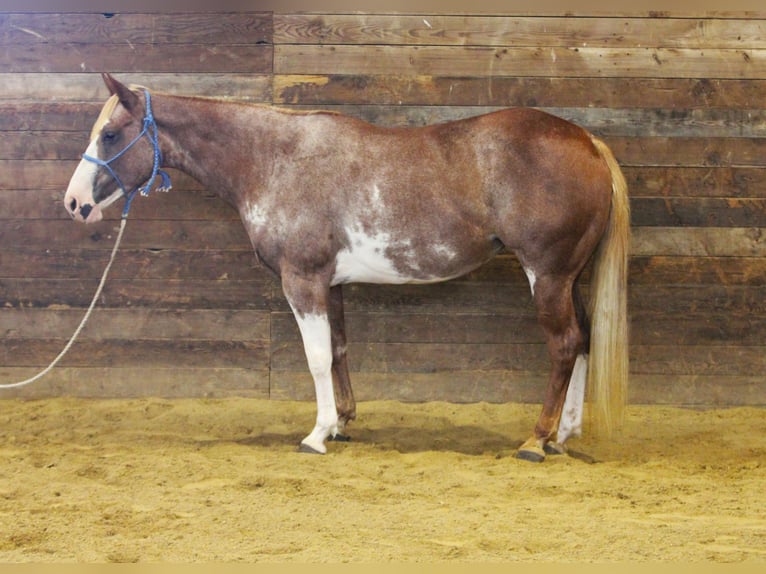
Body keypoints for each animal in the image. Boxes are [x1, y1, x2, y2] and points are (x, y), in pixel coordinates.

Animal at [64, 75, 632, 464]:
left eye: (110, 134)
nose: (74, 204)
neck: (275, 160)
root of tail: (587, 142)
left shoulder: (303, 280)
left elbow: (315, 358)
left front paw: (316, 435)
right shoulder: (330, 284)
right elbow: (337, 351)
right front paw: (342, 423)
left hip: (548, 276)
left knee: (563, 345)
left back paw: (537, 439)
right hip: (569, 279)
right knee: (583, 340)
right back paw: (563, 434)